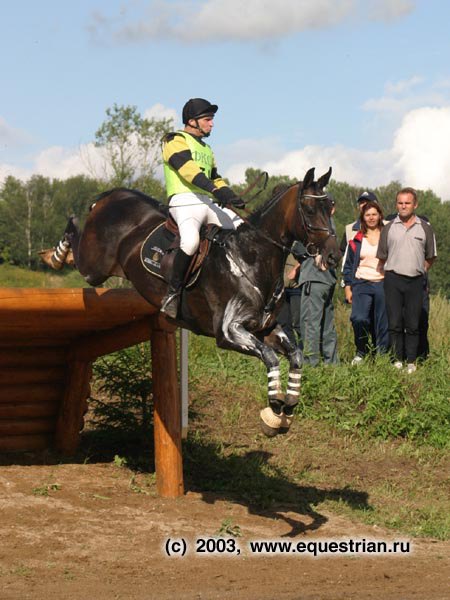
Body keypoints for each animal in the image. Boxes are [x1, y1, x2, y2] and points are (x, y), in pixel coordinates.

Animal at [47, 168, 340, 436]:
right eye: (310, 209)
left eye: (330, 207)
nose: (334, 255)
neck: (250, 258)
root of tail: (112, 195)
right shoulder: (229, 332)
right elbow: (270, 358)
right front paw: (273, 411)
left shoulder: (265, 328)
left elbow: (296, 356)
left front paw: (287, 408)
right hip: (94, 267)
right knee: (75, 237)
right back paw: (56, 254)